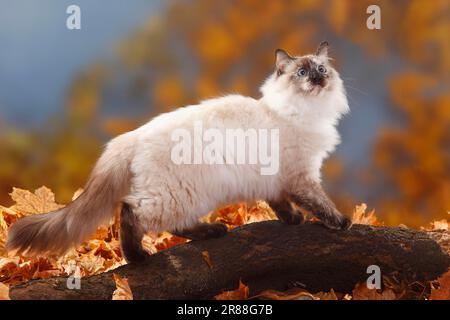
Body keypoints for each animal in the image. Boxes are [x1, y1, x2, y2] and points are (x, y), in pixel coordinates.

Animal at [6, 42, 352, 262]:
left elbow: (280, 203)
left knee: (172, 225)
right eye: (302, 73)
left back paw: (212, 231)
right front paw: (340, 222)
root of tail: (133, 135)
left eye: (322, 69)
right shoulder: (301, 174)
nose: (318, 78)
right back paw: (137, 257)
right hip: (181, 193)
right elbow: (319, 202)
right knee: (131, 214)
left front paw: (292, 220)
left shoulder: (277, 179)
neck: (303, 112)